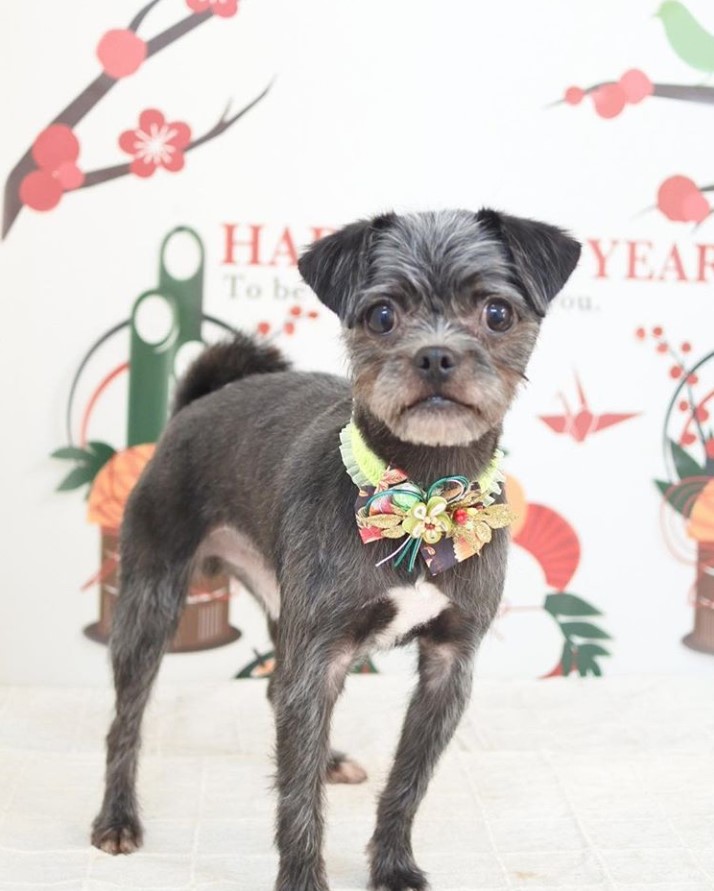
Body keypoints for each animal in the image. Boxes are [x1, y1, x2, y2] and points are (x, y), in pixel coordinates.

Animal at [90, 211, 580, 891]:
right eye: (382, 315)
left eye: (498, 313)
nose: (435, 355)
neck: (422, 494)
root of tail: (196, 404)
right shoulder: (320, 656)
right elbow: (297, 802)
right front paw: (303, 878)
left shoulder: (448, 663)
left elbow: (407, 784)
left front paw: (393, 865)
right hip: (151, 599)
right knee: (126, 720)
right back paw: (117, 818)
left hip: (283, 604)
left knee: (278, 697)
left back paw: (327, 758)